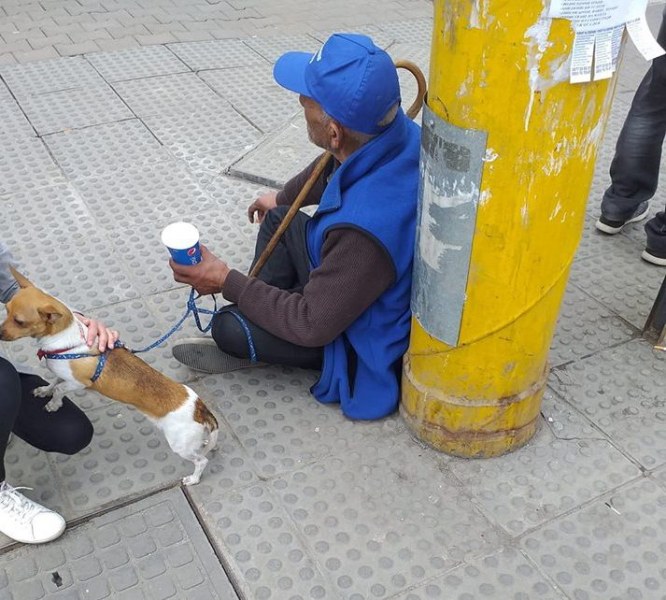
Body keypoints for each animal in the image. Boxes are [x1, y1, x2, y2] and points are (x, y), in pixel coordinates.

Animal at [0, 270, 218, 486]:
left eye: (19, 321)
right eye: (6, 309)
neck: (67, 341)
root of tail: (200, 410)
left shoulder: (78, 383)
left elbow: (60, 389)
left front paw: (53, 404)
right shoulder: (62, 374)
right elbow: (54, 381)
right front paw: (44, 391)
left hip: (180, 445)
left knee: (202, 461)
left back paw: (193, 478)